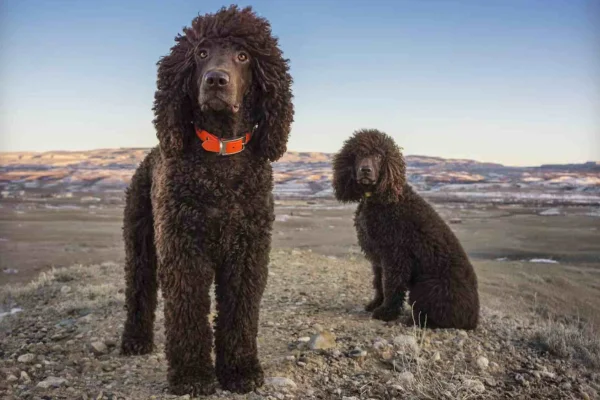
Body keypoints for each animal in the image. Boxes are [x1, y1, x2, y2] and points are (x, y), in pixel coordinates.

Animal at [119, 7, 292, 396]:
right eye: (200, 53)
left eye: (243, 56)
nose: (216, 80)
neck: (221, 155)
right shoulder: (184, 250)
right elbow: (188, 314)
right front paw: (193, 376)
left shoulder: (247, 253)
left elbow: (240, 314)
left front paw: (240, 371)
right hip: (141, 242)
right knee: (138, 288)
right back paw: (135, 340)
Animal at [332, 130, 478, 330]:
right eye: (358, 154)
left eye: (379, 156)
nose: (365, 170)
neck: (380, 197)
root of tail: (473, 319)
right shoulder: (379, 258)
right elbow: (379, 283)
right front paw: (376, 304)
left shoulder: (395, 255)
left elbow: (392, 285)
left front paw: (386, 313)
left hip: (428, 285)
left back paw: (414, 320)